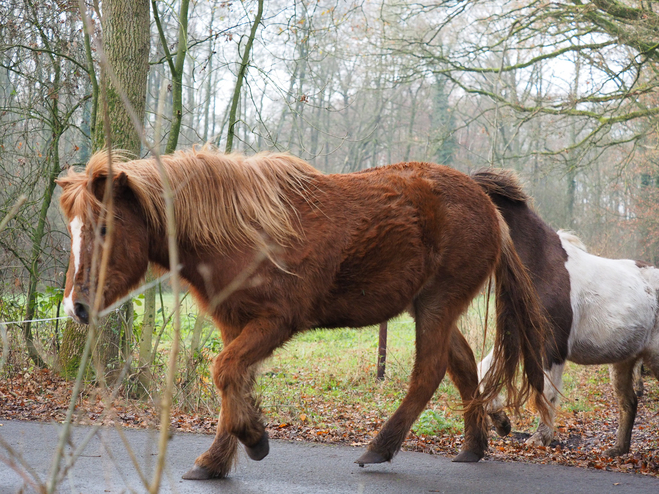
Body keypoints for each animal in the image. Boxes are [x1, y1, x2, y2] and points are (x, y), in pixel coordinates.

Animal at [58, 148, 552, 478]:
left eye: (104, 228)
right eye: (73, 228)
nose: (76, 306)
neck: (239, 232)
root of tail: (482, 198)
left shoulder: (274, 323)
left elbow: (223, 372)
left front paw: (254, 439)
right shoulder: (234, 325)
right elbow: (231, 382)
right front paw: (217, 459)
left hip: (437, 304)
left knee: (428, 374)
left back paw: (380, 448)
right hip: (430, 307)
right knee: (464, 365)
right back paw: (474, 445)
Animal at [474, 169, 659, 456]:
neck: (539, 264)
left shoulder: (553, 346)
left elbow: (547, 391)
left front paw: (540, 438)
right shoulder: (519, 336)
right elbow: (483, 370)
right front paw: (502, 422)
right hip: (625, 360)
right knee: (628, 401)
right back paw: (616, 451)